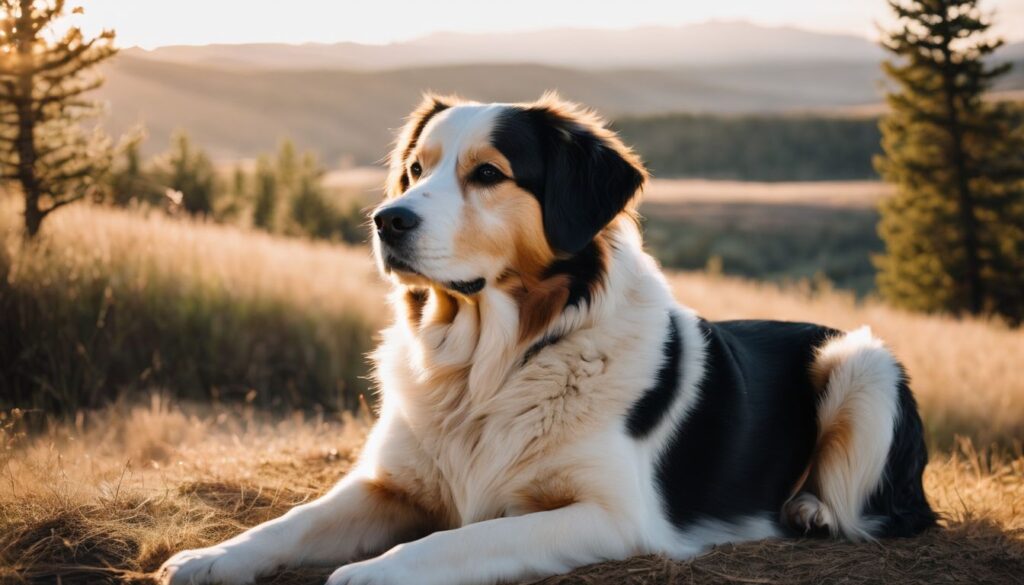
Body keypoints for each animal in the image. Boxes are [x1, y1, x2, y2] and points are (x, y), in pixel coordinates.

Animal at [157, 93, 937, 581]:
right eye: (414, 169)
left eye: (487, 174)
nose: (386, 219)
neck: (488, 364)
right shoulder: (388, 484)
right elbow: (292, 521)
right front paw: (209, 557)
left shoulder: (611, 515)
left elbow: (466, 536)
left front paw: (370, 574)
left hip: (860, 361)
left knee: (890, 506)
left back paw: (810, 507)